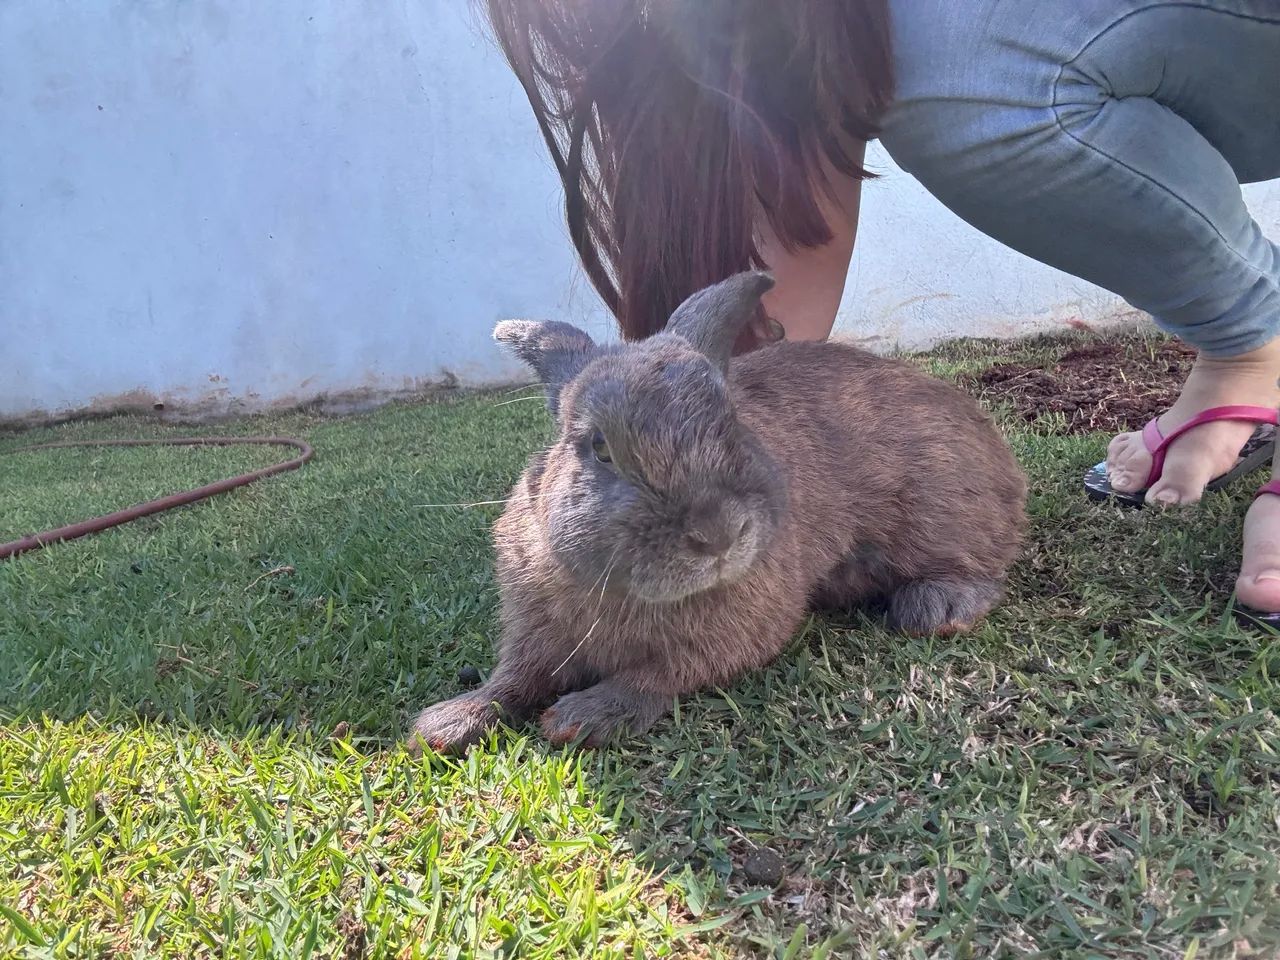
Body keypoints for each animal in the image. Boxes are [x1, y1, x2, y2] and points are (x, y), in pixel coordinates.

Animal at [410, 271, 1026, 753]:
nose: (718, 534)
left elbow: (656, 676)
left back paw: (936, 608)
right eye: (599, 447)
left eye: (731, 422)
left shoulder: (733, 637)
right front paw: (443, 726)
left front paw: (579, 718)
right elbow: (512, 680)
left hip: (940, 514)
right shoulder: (536, 632)